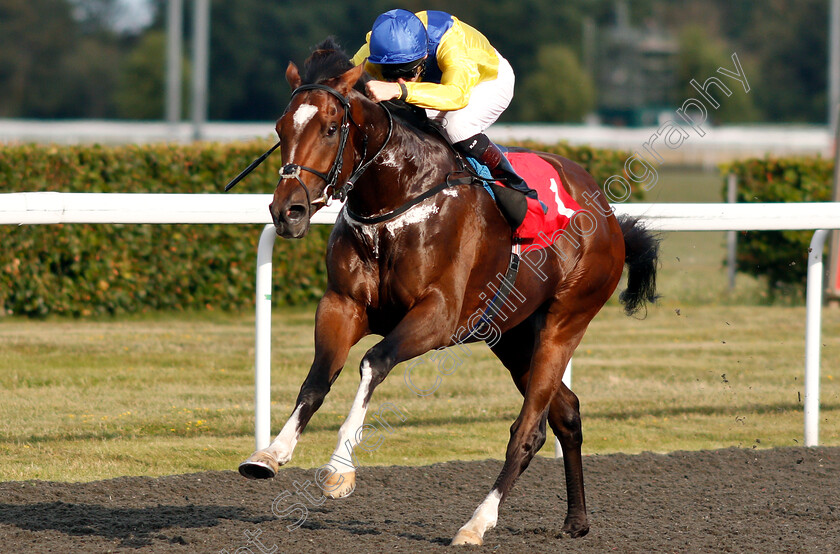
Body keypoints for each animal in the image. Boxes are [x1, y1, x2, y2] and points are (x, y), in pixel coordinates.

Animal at [235, 40, 656, 544]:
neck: (397, 200)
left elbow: (373, 362)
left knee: (528, 430)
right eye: (281, 128)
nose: (288, 211)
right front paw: (269, 454)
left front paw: (339, 471)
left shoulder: (438, 315)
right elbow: (317, 379)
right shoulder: (342, 305)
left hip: (565, 322)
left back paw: (476, 523)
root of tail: (607, 213)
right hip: (512, 335)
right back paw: (576, 520)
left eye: (332, 128)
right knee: (565, 414)